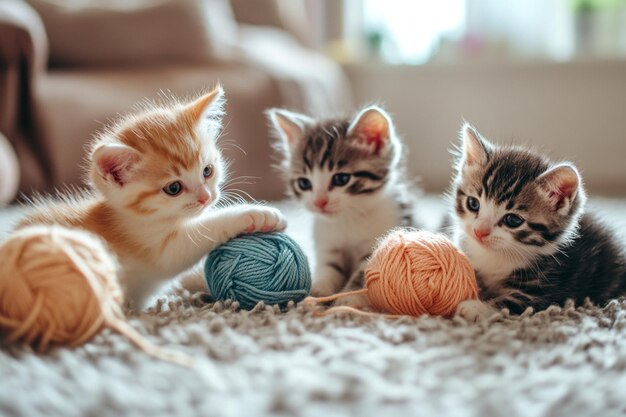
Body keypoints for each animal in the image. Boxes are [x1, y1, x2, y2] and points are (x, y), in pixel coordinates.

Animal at [17, 86, 286, 308]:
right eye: (174, 188)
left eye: (207, 171)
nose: (206, 198)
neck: (133, 218)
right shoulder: (159, 248)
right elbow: (204, 230)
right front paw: (256, 214)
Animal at [266, 104, 416, 306]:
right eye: (304, 183)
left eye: (341, 179)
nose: (319, 202)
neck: (347, 219)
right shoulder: (328, 245)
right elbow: (329, 268)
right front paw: (318, 292)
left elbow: (364, 273)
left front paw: (348, 298)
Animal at [448, 122, 624, 320]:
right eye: (473, 204)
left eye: (513, 220)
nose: (479, 232)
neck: (497, 254)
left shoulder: (550, 286)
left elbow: (514, 304)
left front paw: (475, 307)